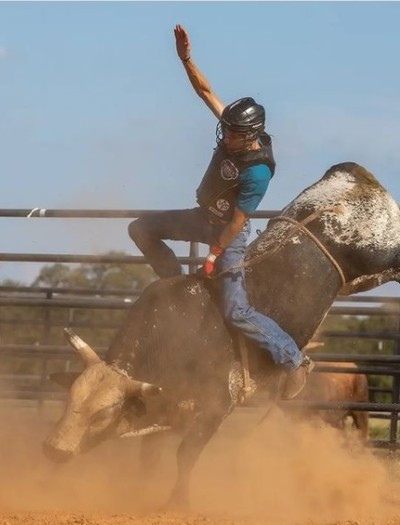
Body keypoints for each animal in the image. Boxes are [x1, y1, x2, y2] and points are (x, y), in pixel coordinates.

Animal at [43, 163, 400, 508]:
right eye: (70, 398)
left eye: (103, 414)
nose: (54, 449)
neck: (171, 342)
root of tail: (355, 173)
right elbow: (150, 458)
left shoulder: (215, 407)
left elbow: (185, 456)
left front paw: (178, 502)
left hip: (382, 247)